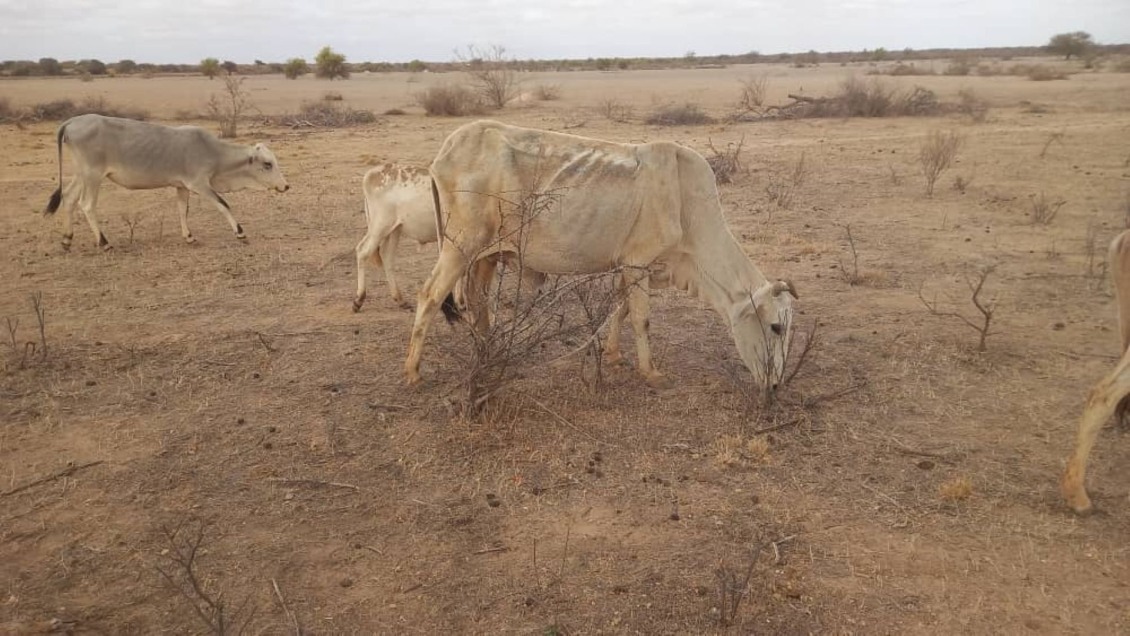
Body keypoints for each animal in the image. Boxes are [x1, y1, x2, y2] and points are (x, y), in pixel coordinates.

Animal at [43, 114, 289, 250]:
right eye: (268, 164)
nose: (285, 186)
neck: (214, 152)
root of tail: (72, 121)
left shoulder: (181, 186)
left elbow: (182, 210)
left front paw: (189, 237)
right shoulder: (199, 184)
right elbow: (223, 204)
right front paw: (240, 233)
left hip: (81, 175)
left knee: (69, 199)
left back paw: (67, 240)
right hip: (93, 176)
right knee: (86, 205)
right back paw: (104, 242)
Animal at [404, 120, 797, 391]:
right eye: (776, 327)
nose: (775, 385)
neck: (689, 209)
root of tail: (445, 151)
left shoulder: (634, 265)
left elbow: (620, 308)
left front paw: (613, 354)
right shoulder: (638, 262)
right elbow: (641, 318)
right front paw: (651, 372)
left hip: (485, 255)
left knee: (477, 300)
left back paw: (487, 350)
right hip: (460, 246)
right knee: (430, 295)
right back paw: (413, 372)